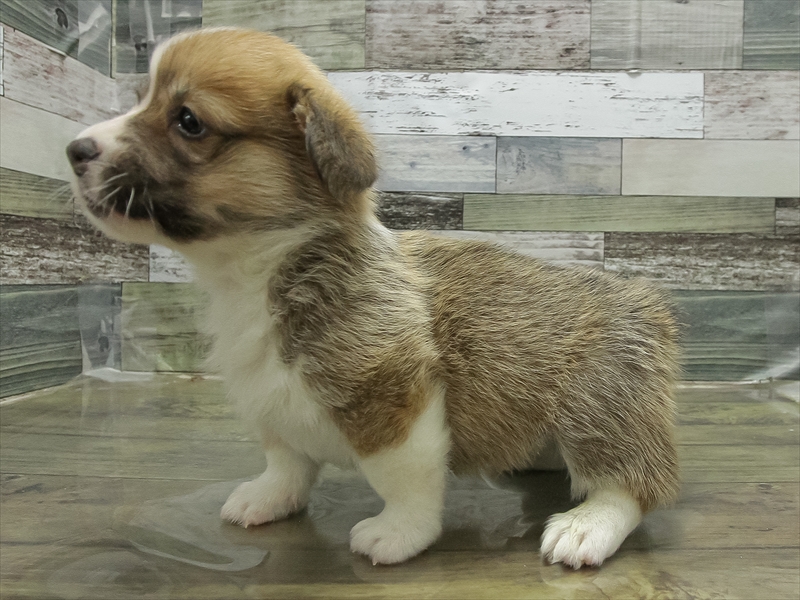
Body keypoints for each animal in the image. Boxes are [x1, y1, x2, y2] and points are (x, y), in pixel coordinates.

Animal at [67, 28, 680, 568]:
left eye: (188, 121)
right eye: (139, 101)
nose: (74, 149)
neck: (257, 270)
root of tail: (641, 298)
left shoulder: (392, 398)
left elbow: (401, 478)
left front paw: (399, 534)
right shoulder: (272, 402)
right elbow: (285, 461)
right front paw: (267, 497)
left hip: (597, 402)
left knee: (635, 481)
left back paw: (585, 526)